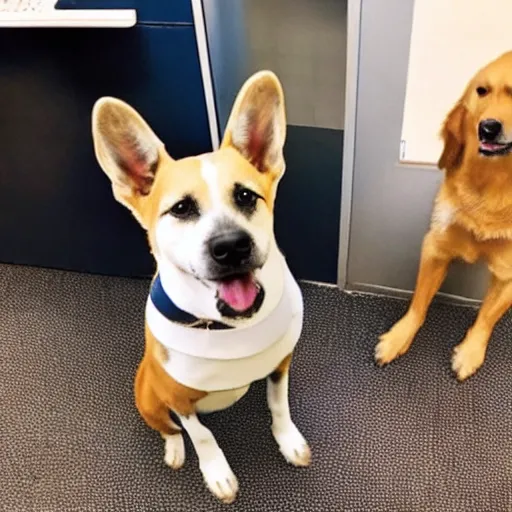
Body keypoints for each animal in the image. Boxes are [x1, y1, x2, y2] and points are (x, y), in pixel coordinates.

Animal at [90, 70, 310, 502]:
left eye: (246, 196)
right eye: (181, 209)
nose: (232, 246)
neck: (224, 327)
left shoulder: (280, 365)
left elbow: (279, 405)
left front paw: (288, 440)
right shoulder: (177, 398)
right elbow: (202, 435)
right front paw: (217, 473)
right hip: (147, 394)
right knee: (169, 428)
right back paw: (174, 450)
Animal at [374, 51, 512, 380]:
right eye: (482, 91)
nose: (488, 127)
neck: (492, 187)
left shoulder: (508, 273)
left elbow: (487, 318)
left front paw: (471, 351)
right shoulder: (436, 245)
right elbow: (418, 303)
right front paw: (399, 337)